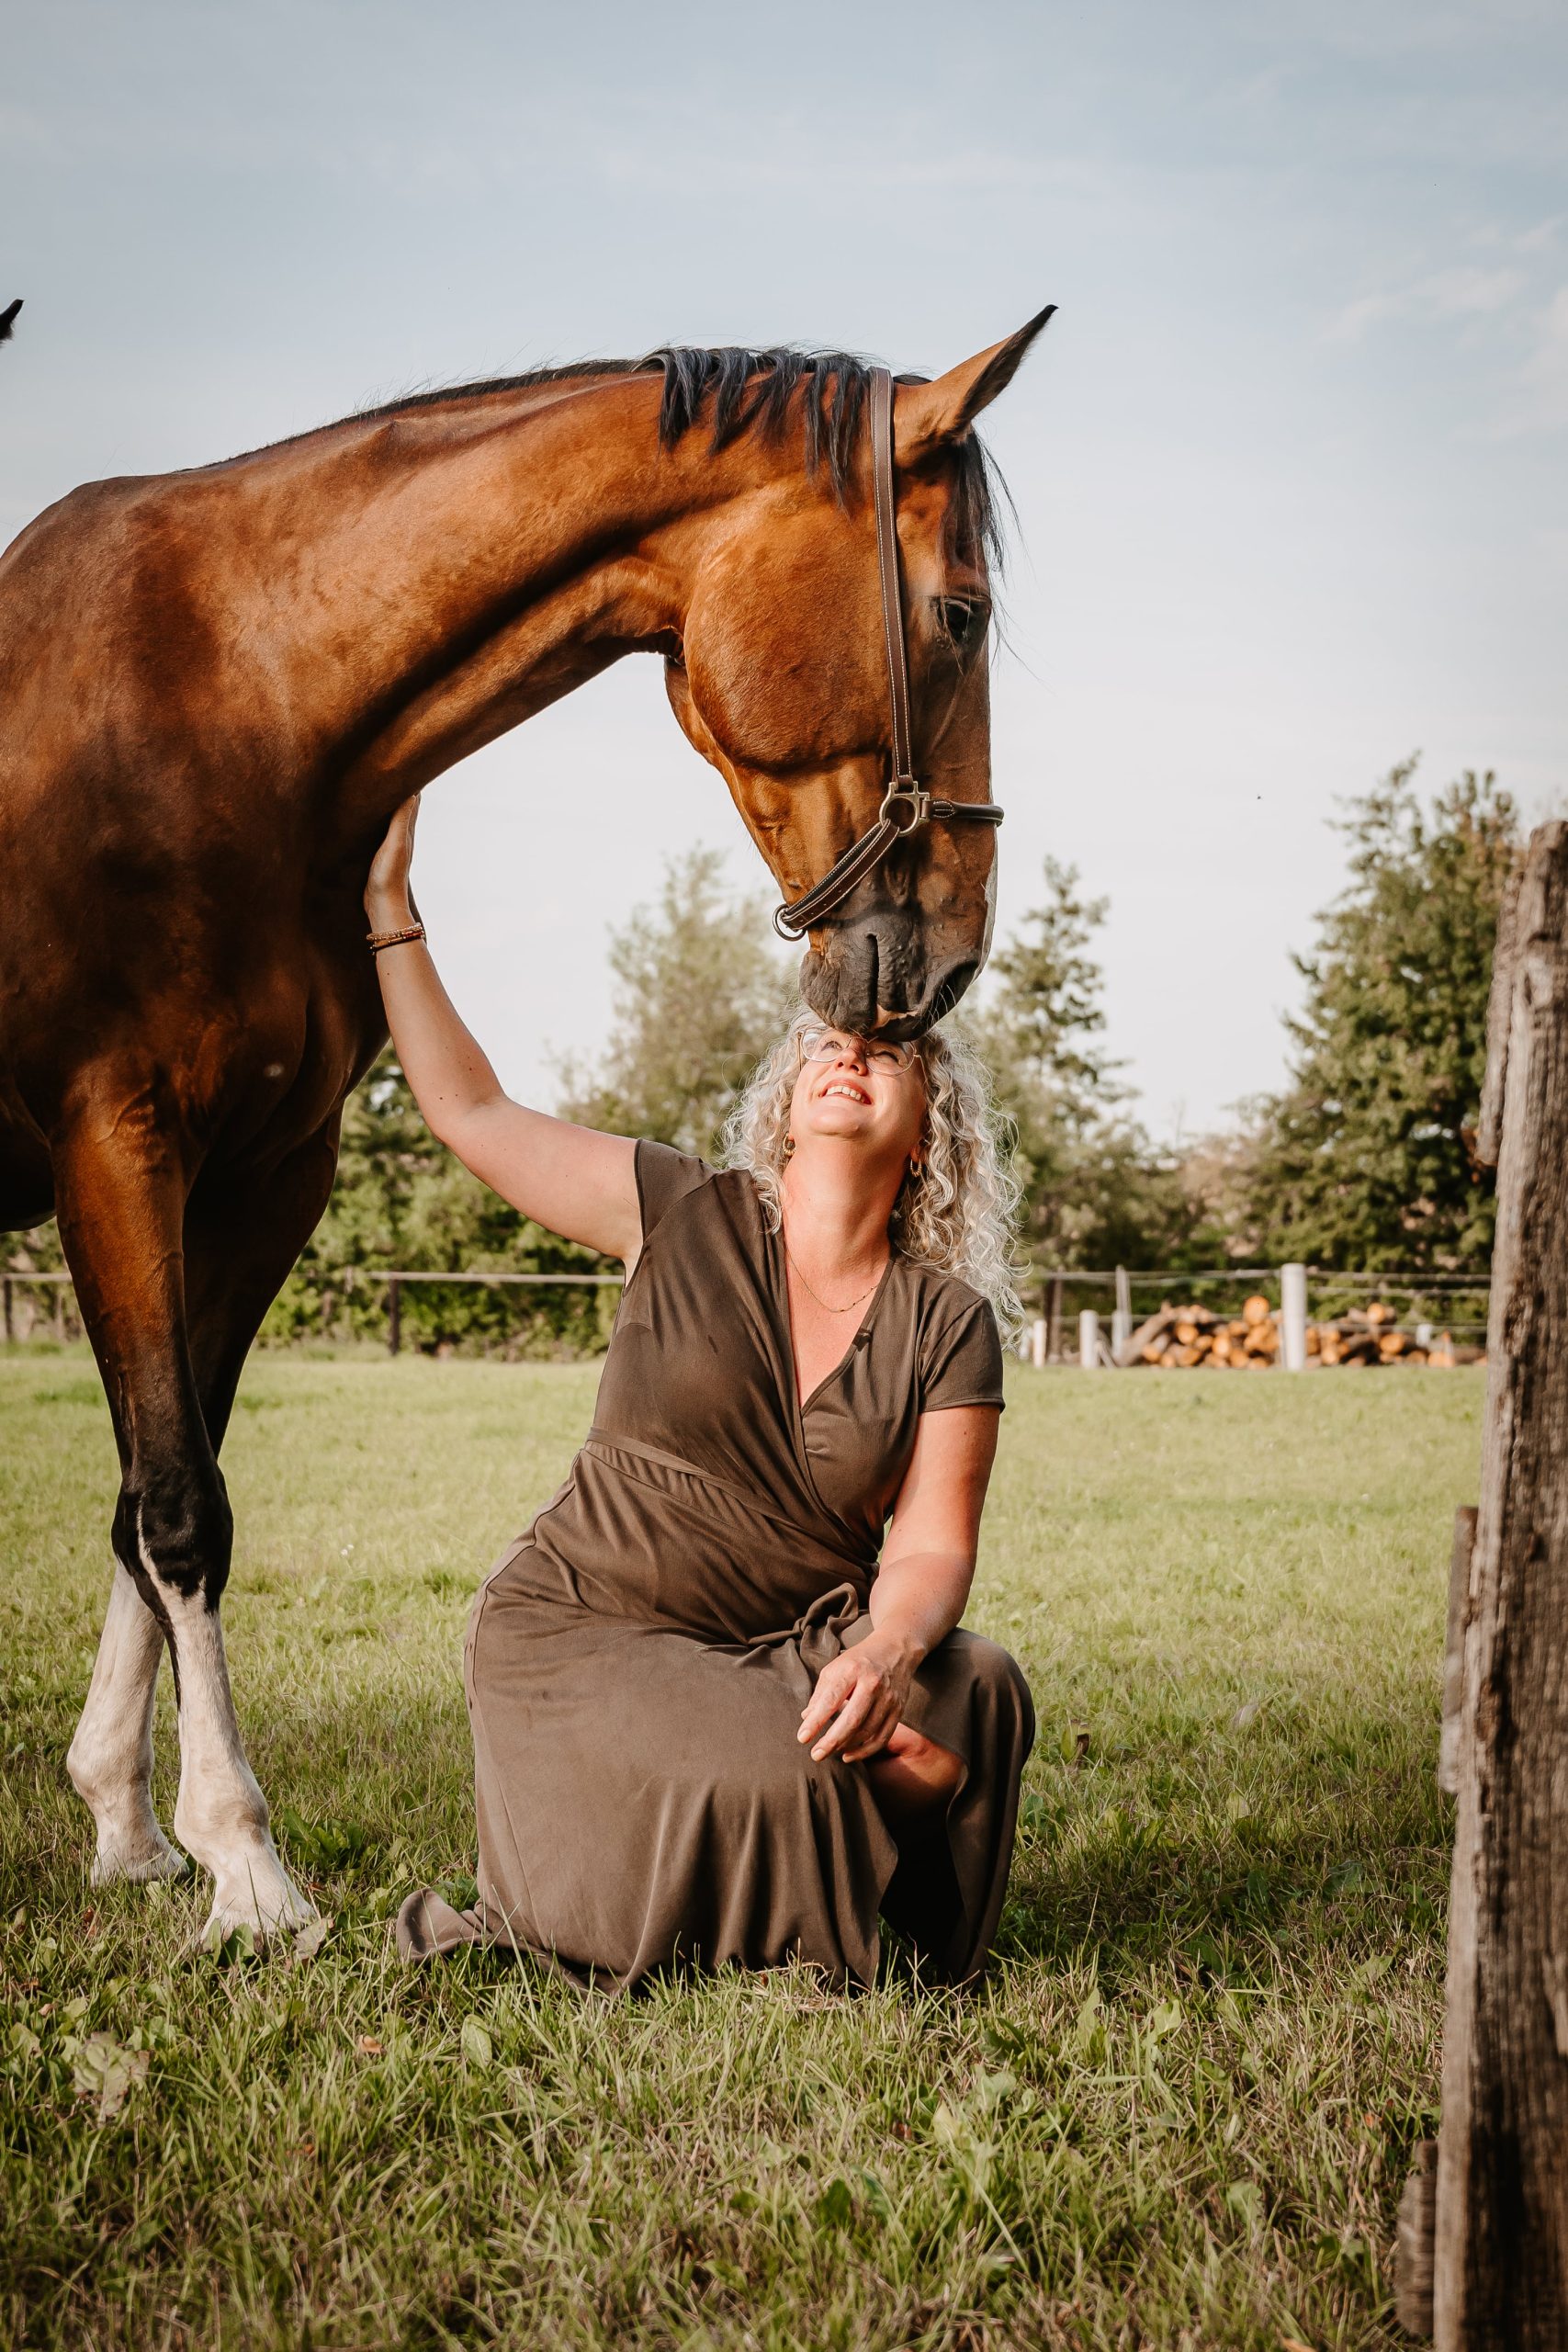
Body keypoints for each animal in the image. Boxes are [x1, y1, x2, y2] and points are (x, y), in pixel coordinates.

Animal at [3, 303, 1053, 1938]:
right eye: (958, 615)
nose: (946, 959)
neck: (223, 699)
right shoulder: (117, 1142)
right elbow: (176, 1502)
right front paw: (244, 1863)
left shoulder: (262, 1176)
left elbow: (150, 1489)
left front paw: (127, 1824)